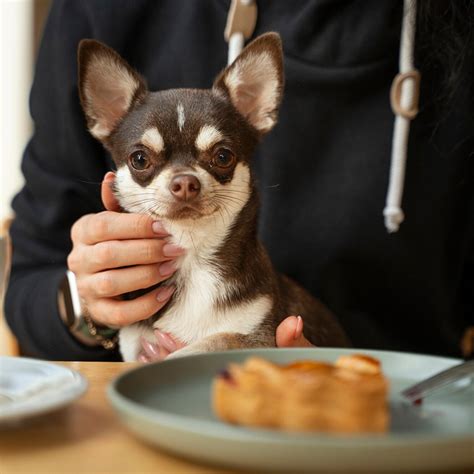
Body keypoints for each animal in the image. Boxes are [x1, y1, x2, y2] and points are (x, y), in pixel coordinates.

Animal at [78, 32, 348, 360]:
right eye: (139, 159)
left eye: (223, 156)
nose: (185, 182)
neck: (193, 255)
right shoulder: (135, 344)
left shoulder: (260, 337)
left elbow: (214, 340)